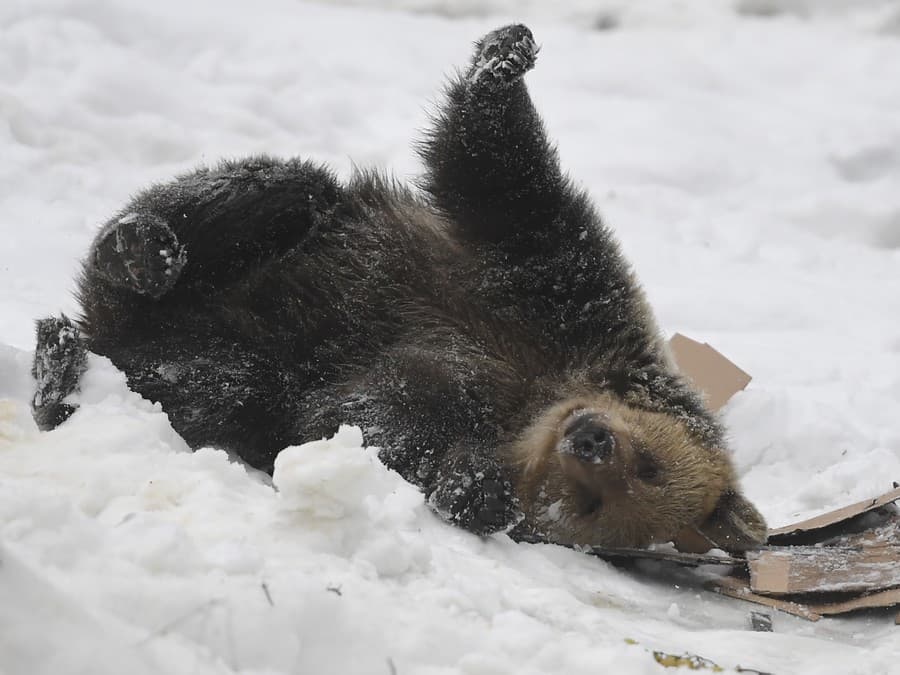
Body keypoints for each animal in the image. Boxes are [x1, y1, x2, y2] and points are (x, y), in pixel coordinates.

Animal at [31, 25, 764, 556]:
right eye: (651, 463)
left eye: (594, 505)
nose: (591, 441)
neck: (535, 398)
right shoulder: (556, 292)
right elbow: (498, 172)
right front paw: (506, 54)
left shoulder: (457, 401)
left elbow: (376, 425)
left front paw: (472, 489)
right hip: (261, 242)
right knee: (272, 193)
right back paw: (140, 254)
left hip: (214, 355)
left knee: (215, 380)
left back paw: (69, 372)